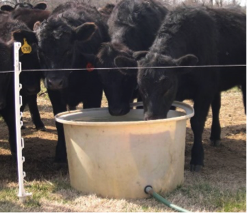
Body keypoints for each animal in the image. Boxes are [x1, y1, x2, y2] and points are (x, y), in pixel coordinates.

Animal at [30, 1, 109, 161]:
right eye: (41, 51)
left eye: (68, 49)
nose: (55, 82)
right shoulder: (54, 94)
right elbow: (59, 122)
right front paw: (61, 152)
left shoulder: (94, 92)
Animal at [115, 5, 247, 171]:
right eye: (140, 86)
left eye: (169, 86)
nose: (152, 119)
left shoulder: (204, 92)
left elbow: (197, 123)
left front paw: (197, 157)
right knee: (216, 106)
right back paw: (215, 135)